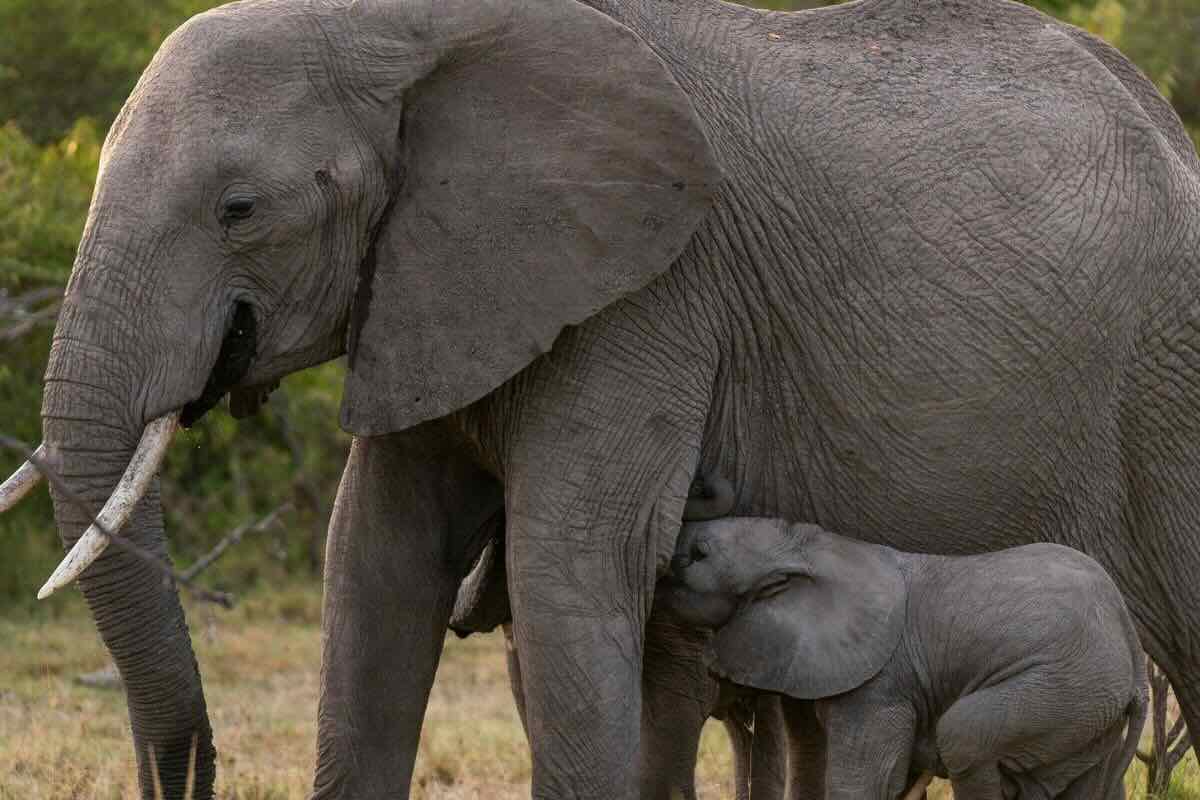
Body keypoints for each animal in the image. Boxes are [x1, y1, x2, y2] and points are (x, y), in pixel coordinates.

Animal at [672, 515, 1147, 796]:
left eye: (699, 556)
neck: (810, 546)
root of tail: (1131, 641)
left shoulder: (880, 688)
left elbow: (865, 782)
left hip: (1067, 681)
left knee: (963, 734)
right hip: (1090, 710)